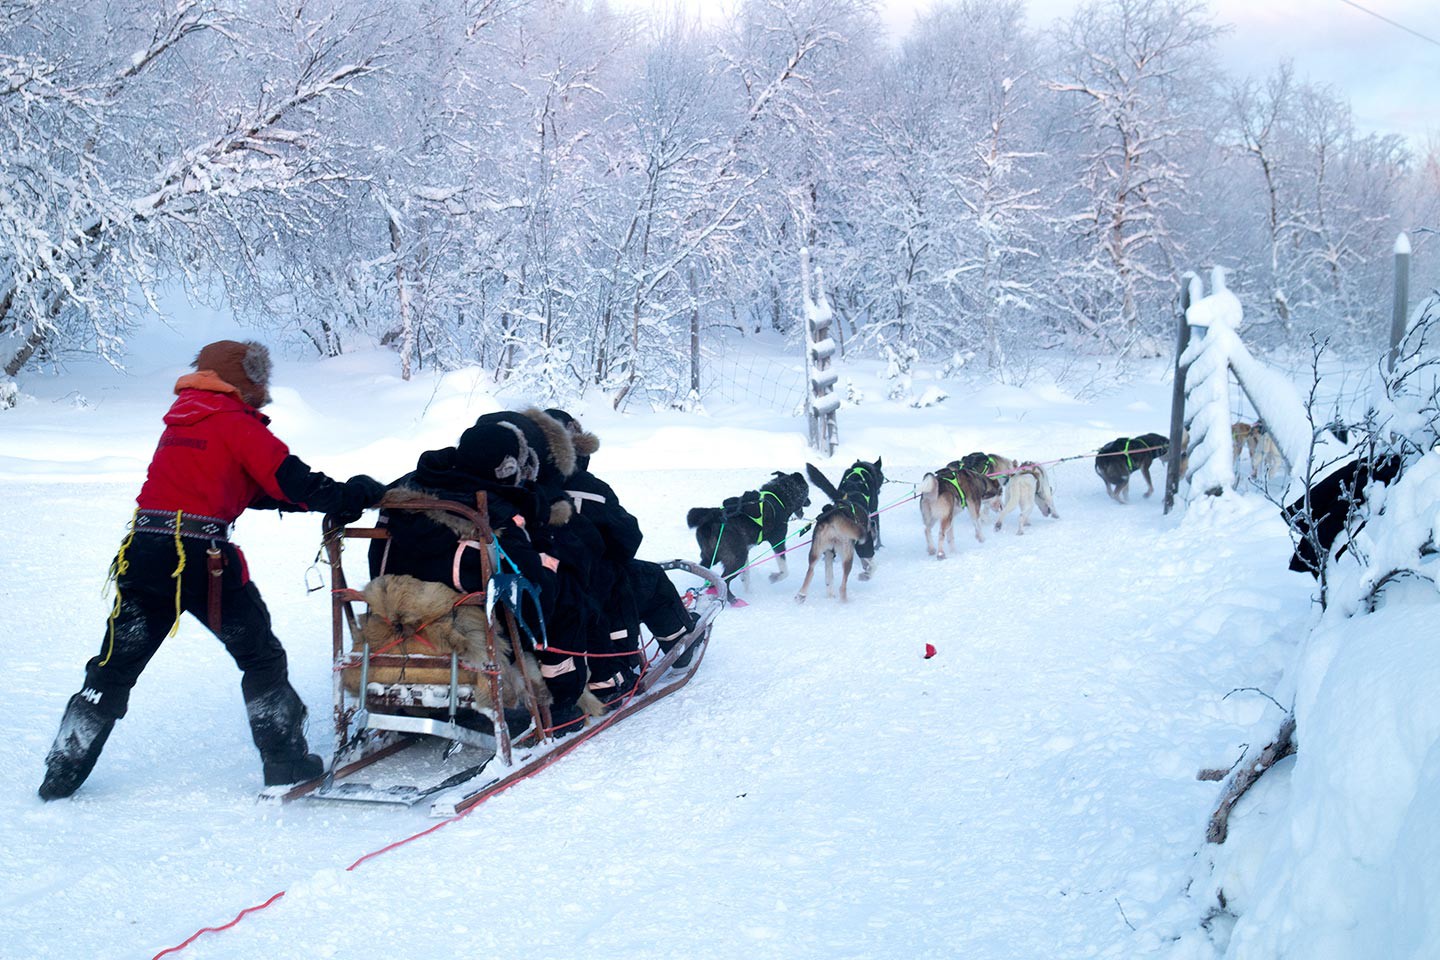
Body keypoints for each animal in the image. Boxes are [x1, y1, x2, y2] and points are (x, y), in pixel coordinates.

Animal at [794, 457, 881, 601]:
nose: (873, 524)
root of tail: (835, 518)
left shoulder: (829, 553)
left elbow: (829, 579)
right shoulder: (864, 544)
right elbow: (873, 564)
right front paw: (866, 575)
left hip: (816, 553)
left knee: (811, 572)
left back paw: (802, 595)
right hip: (847, 555)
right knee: (842, 586)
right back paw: (844, 601)